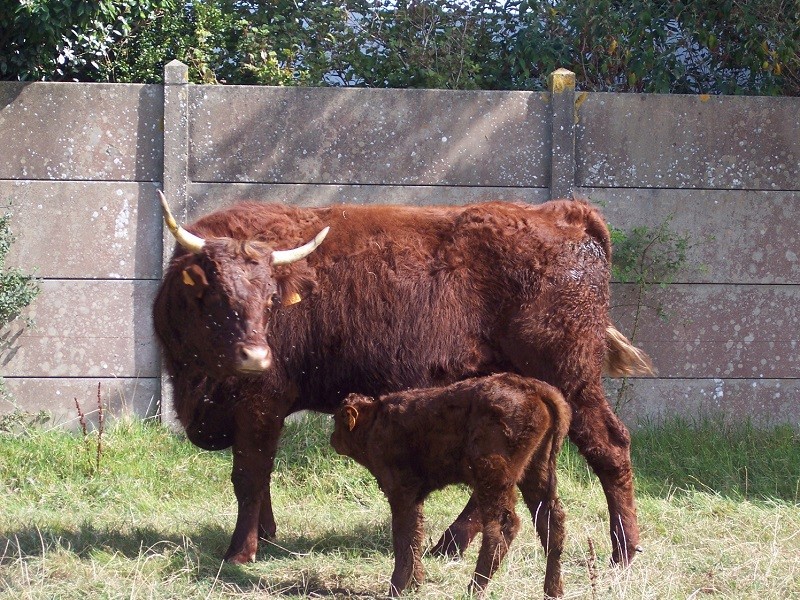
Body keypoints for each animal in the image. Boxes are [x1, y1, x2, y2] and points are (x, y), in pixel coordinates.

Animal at [153, 193, 652, 568]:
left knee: (610, 447)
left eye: (272, 298)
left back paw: (624, 552)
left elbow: (249, 473)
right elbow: (260, 475)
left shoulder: (261, 402)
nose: (256, 356)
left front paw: (241, 551)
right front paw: (268, 535)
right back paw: (447, 545)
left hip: (573, 380)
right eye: (216, 296)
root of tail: (564, 213)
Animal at [330, 372, 568, 596]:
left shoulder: (401, 492)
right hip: (536, 472)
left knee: (501, 528)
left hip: (493, 479)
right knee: (550, 521)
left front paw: (396, 588)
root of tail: (531, 387)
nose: (332, 438)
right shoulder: (414, 497)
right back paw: (552, 591)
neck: (374, 421)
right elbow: (414, 535)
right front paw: (415, 583)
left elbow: (403, 537)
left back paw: (474, 589)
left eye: (339, 419)